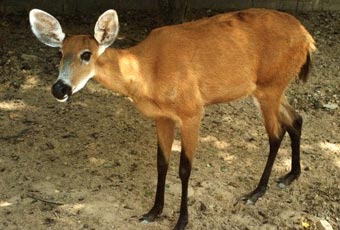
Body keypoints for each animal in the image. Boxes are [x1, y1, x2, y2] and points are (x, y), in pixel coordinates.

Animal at [29, 8, 316, 229]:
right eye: (60, 53)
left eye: (86, 54)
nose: (60, 89)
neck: (146, 72)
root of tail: (307, 37)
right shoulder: (162, 117)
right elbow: (161, 163)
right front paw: (153, 211)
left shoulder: (193, 110)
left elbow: (184, 168)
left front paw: (182, 221)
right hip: (271, 87)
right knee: (296, 119)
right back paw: (290, 176)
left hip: (269, 86)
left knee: (276, 133)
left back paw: (256, 192)